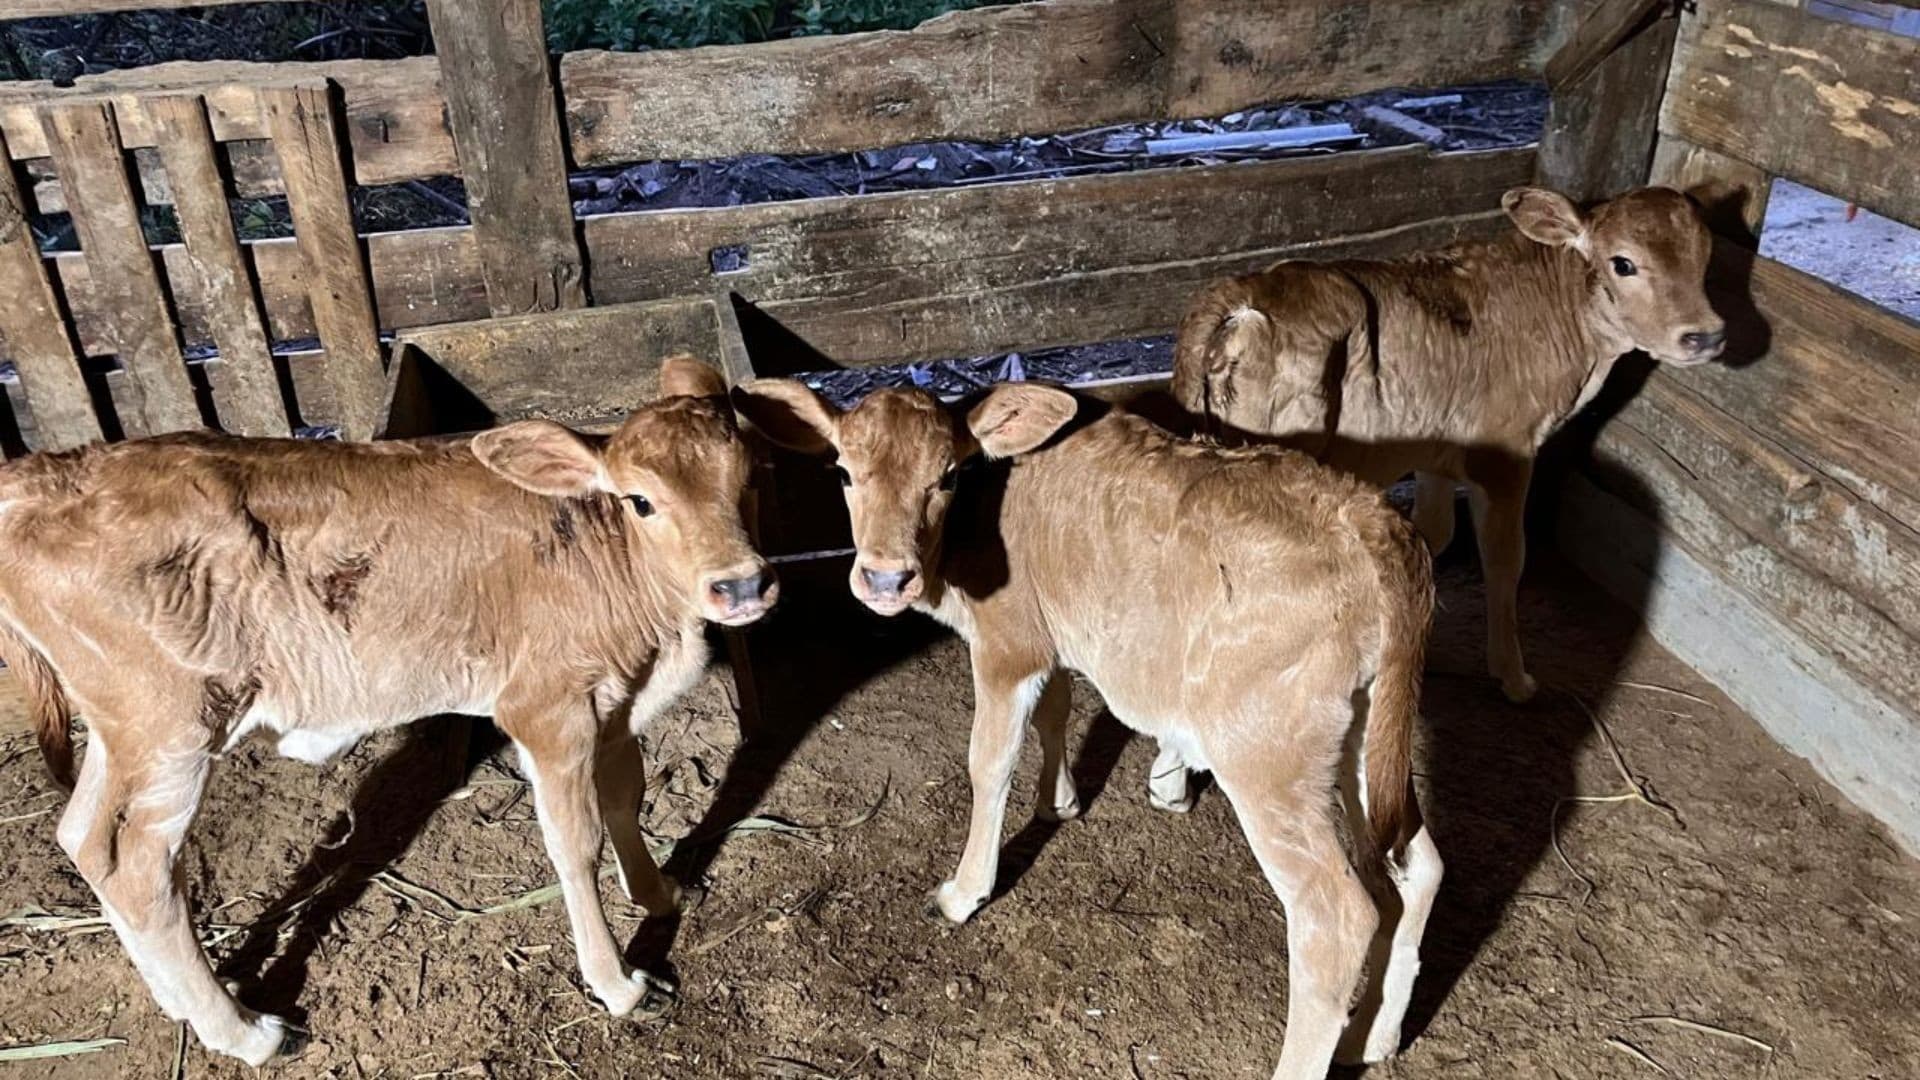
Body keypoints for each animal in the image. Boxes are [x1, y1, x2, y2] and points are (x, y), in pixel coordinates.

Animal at [0, 357, 773, 1065]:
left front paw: (659, 892)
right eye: (641, 501)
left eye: (748, 475)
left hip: (123, 732)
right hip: (172, 727)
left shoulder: (614, 704)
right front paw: (618, 984)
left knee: (84, 839)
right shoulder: (547, 708)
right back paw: (247, 1033)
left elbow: (624, 799)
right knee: (136, 869)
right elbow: (574, 841)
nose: (741, 586)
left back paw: (184, 1005)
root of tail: (39, 474)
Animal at [736, 377, 1442, 1080]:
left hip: (1266, 753)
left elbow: (988, 762)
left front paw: (964, 892)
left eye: (947, 476)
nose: (885, 578)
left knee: (1336, 917)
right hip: (1363, 735)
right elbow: (1056, 709)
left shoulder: (1008, 643)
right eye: (843, 471)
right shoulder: (1052, 637)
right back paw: (1373, 1038)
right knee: (1417, 866)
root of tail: (1375, 520)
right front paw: (1060, 802)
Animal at [1171, 185, 1725, 702]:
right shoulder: (1505, 457)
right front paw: (1514, 677)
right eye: (1623, 263)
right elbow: (1505, 558)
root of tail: (1236, 301)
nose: (1706, 337)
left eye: (1706, 253)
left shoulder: (1434, 450)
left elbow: (1433, 532)